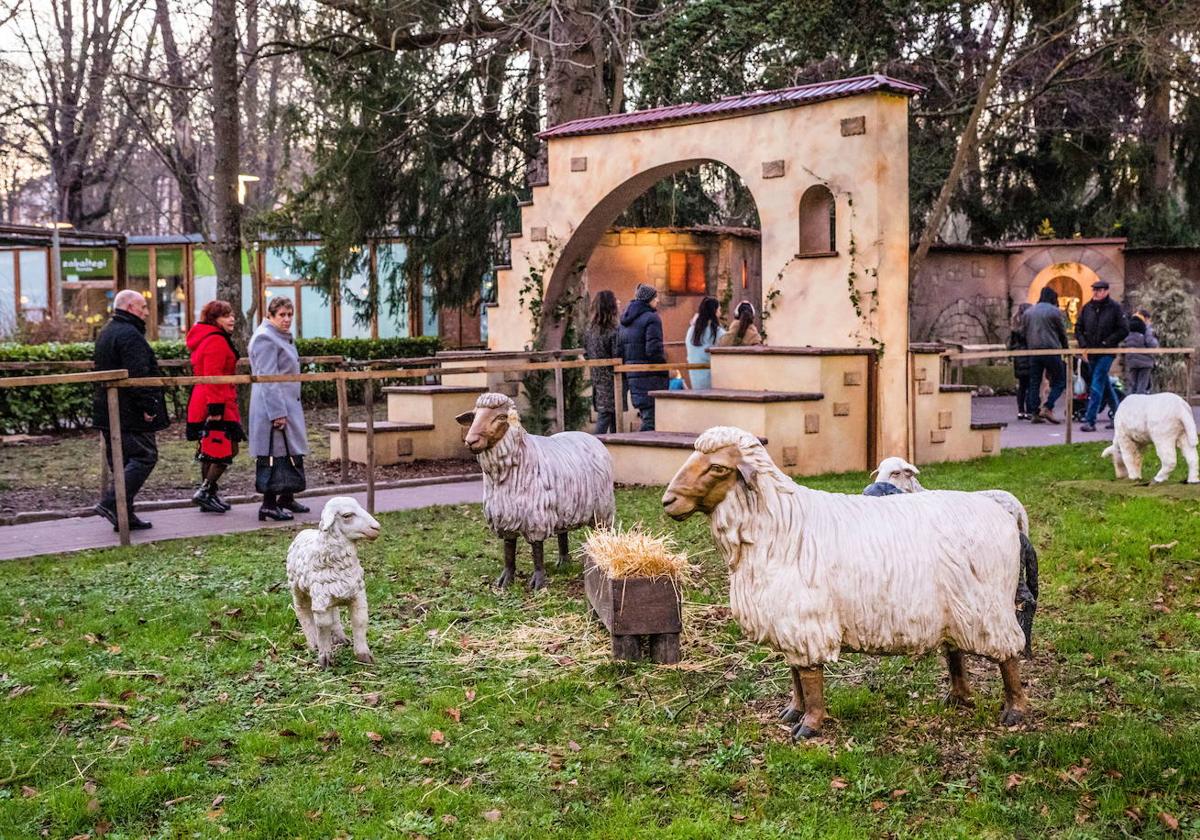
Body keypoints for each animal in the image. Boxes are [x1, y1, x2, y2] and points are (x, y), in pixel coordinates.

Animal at [285, 494, 379, 667]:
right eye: (347, 515)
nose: (376, 528)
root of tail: (304, 531)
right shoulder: (320, 603)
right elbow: (323, 626)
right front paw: (325, 658)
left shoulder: (357, 596)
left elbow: (360, 621)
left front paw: (364, 655)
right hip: (297, 588)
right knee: (302, 612)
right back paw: (313, 643)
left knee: (334, 613)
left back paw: (341, 638)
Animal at [453, 393, 614, 590]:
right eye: (475, 416)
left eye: (501, 417)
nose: (471, 441)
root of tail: (588, 436)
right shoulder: (505, 514)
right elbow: (509, 549)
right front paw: (506, 580)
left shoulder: (536, 515)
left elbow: (537, 549)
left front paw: (538, 581)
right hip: (565, 505)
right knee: (563, 534)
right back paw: (563, 562)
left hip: (602, 508)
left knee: (602, 530)